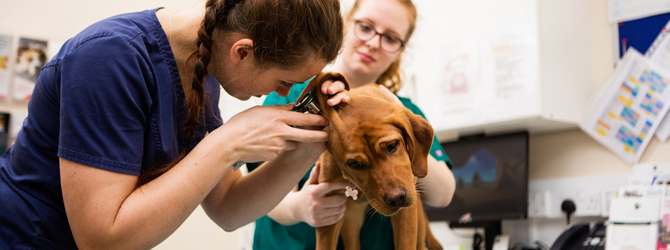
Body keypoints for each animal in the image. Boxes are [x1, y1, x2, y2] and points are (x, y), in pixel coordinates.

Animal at [306, 72, 444, 250]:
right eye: (355, 164)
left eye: (392, 146)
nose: (396, 198)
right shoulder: (330, 210)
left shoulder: (407, 212)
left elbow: (405, 243)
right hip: (351, 220)